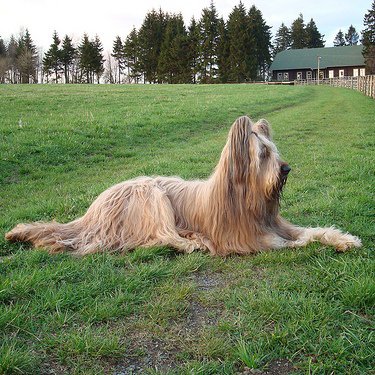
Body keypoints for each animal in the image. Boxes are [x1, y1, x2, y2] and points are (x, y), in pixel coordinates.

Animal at [5, 116, 362, 256]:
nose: (286, 168)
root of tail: (93, 210)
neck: (246, 197)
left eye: (274, 151)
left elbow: (310, 231)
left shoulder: (275, 224)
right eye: (262, 154)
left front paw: (344, 239)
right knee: (160, 237)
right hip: (151, 196)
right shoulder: (245, 238)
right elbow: (294, 242)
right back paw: (193, 242)